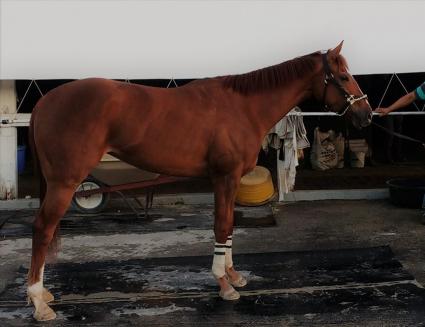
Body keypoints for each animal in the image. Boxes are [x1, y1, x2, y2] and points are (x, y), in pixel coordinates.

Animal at [26, 42, 372, 322]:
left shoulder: (230, 181)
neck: (243, 106)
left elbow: (229, 225)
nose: (366, 114)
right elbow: (221, 225)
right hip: (64, 183)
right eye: (343, 76)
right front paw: (223, 284)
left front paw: (233, 274)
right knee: (43, 229)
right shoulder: (224, 177)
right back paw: (38, 302)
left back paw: (43, 294)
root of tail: (44, 103)